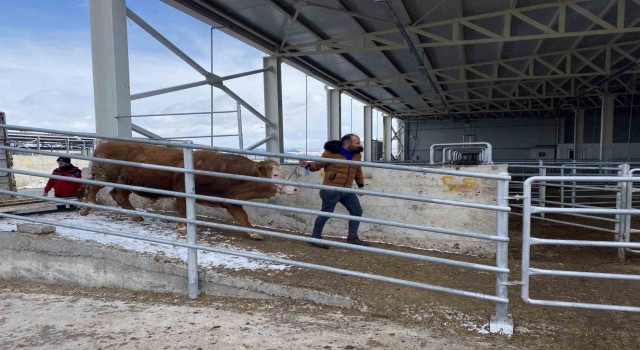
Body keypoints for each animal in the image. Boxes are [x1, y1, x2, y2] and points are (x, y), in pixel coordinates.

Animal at [79, 141, 298, 239]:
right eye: (275, 174)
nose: (295, 188)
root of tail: (105, 142)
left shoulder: (229, 200)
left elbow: (243, 217)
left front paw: (254, 233)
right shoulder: (181, 188)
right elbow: (183, 208)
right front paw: (183, 227)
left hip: (127, 181)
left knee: (119, 195)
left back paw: (136, 216)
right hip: (104, 174)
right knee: (92, 189)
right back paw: (86, 207)